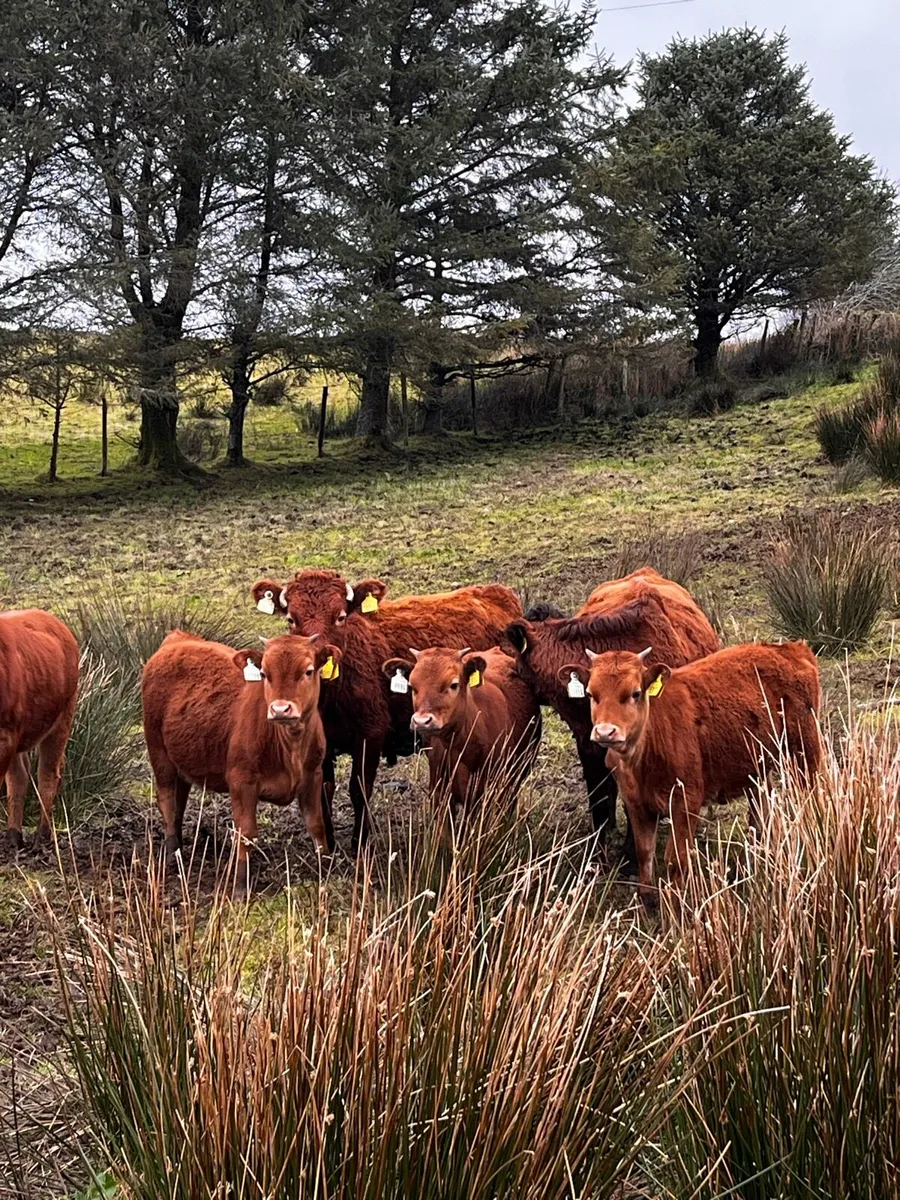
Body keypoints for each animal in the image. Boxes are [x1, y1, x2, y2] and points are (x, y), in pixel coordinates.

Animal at [0, 609, 79, 850]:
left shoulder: (5, 737)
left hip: (61, 721)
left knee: (47, 775)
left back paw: (42, 835)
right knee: (19, 777)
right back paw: (13, 835)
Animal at [141, 631, 339, 895]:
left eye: (308, 671)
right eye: (264, 674)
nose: (280, 709)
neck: (289, 746)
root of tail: (179, 637)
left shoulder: (313, 776)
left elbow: (316, 824)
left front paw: (324, 870)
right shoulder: (241, 781)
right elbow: (246, 833)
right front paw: (240, 887)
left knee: (178, 802)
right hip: (158, 752)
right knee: (167, 802)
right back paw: (173, 856)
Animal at [250, 570, 523, 852]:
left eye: (340, 617)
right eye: (291, 620)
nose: (319, 657)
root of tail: (495, 592)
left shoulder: (370, 735)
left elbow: (359, 790)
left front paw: (359, 843)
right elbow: (324, 790)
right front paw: (330, 844)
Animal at [564, 642, 821, 907]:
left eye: (635, 693)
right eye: (590, 694)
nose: (605, 732)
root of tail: (789, 648)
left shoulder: (686, 801)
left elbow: (676, 859)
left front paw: (676, 905)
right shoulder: (636, 803)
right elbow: (644, 852)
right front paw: (648, 901)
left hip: (805, 750)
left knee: (813, 799)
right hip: (756, 765)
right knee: (761, 807)